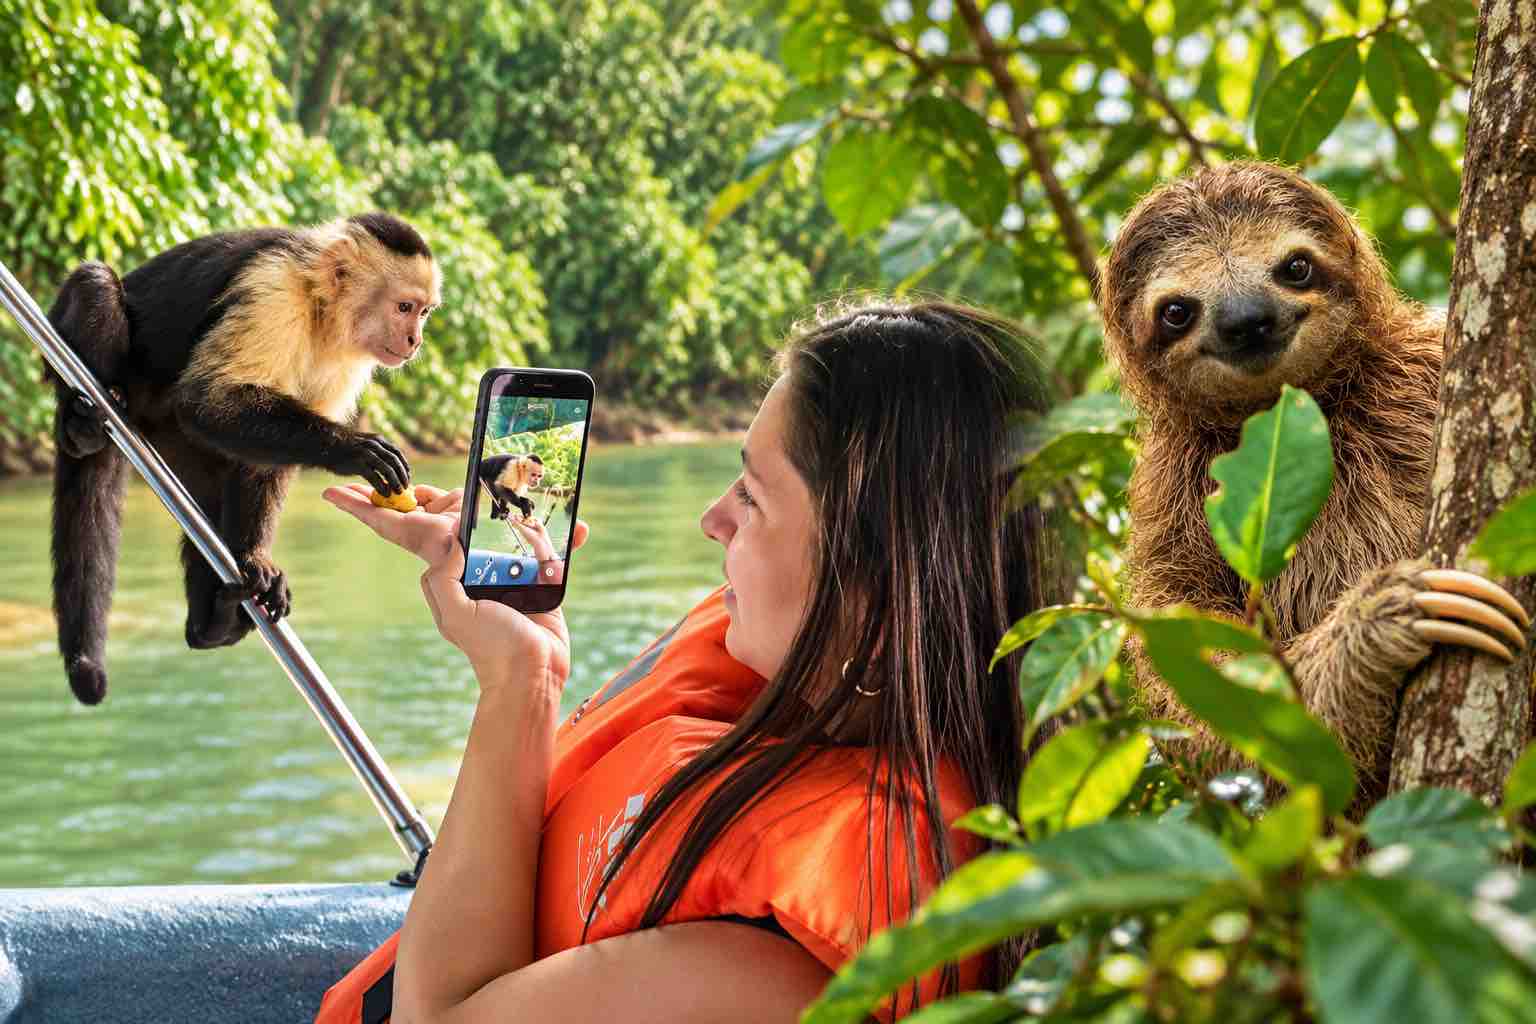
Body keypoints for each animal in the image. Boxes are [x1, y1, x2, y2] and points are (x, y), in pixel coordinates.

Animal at [46, 212, 440, 705]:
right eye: (404, 307)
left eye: (423, 313)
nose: (415, 341)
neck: (321, 310)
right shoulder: (273, 290)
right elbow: (207, 400)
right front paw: (354, 449)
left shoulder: (347, 360)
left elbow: (261, 462)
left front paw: (254, 558)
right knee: (96, 285)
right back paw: (80, 429)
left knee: (210, 497)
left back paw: (209, 624)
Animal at [1098, 161, 1530, 801]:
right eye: (1176, 311)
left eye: (1295, 267)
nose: (1247, 320)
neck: (1306, 410)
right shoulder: (1169, 498)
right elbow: (1206, 694)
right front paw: (1380, 622)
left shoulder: (1424, 361)